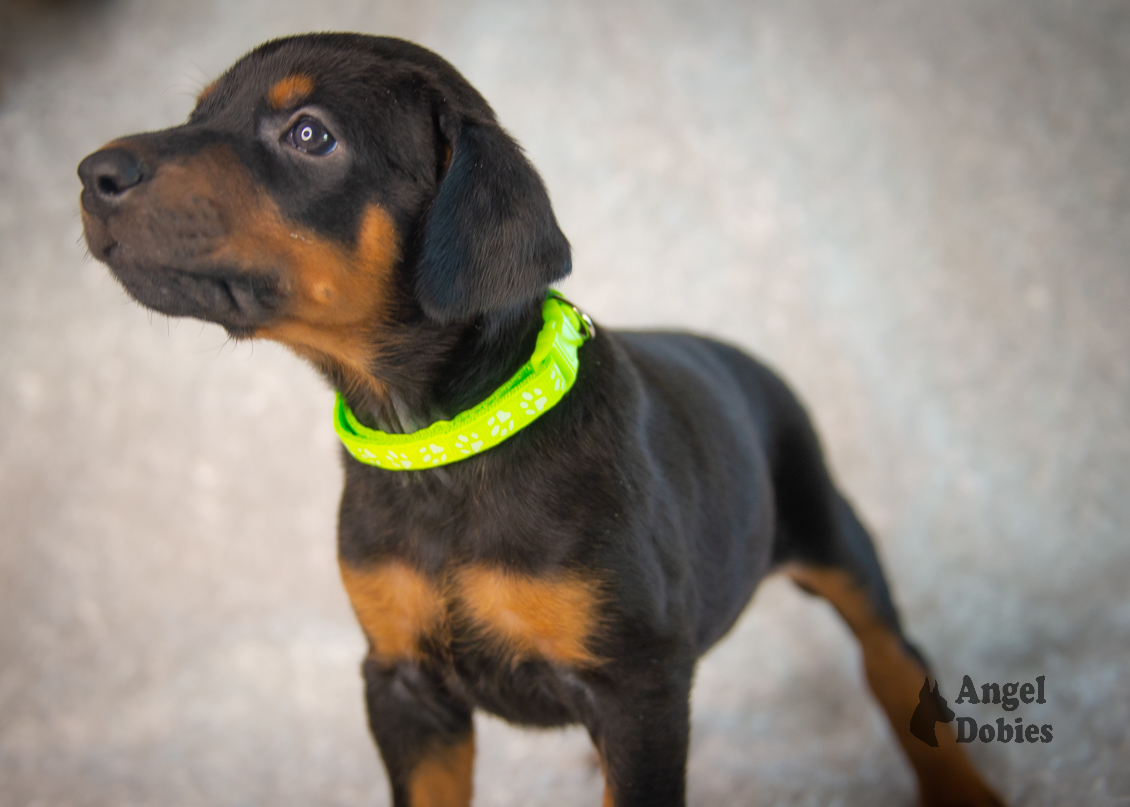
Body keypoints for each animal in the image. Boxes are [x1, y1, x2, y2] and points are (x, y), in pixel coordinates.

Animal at [75, 33, 1003, 804]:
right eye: (198, 114)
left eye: (309, 135)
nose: (92, 173)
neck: (441, 441)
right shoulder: (402, 682)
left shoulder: (639, 687)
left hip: (829, 526)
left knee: (894, 660)